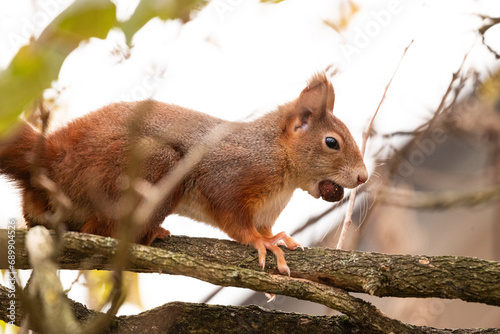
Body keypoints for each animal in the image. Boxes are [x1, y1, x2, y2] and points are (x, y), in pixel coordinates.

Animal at [0, 73, 368, 274]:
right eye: (332, 142)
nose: (363, 177)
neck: (282, 165)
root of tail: (52, 158)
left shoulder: (265, 211)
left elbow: (265, 227)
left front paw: (278, 238)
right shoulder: (228, 173)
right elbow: (233, 218)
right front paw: (262, 243)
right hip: (146, 166)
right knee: (97, 231)